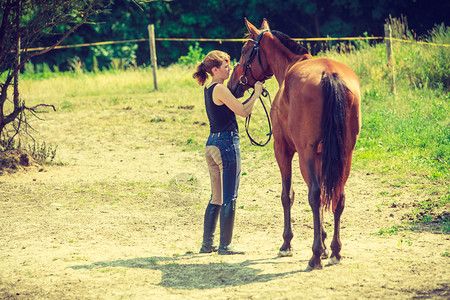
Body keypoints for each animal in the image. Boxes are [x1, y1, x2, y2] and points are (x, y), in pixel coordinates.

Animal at [229, 19, 362, 270]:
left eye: (244, 50)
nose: (233, 84)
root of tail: (330, 74)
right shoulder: (321, 155)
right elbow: (324, 198)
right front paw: (325, 240)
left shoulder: (283, 150)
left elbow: (287, 194)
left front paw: (287, 244)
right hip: (345, 154)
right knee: (337, 196)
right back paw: (335, 251)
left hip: (304, 153)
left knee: (314, 194)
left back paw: (315, 256)